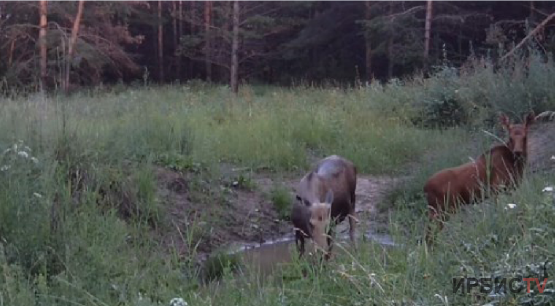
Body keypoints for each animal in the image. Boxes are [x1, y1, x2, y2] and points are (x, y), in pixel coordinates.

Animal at [424, 111, 536, 245]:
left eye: (525, 137)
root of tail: (425, 188)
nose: (518, 152)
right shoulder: (497, 189)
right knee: (430, 234)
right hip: (442, 209)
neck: (515, 165)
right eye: (510, 137)